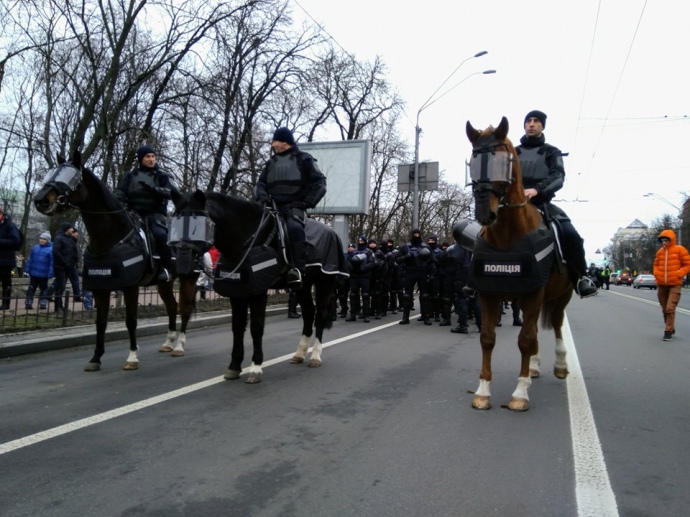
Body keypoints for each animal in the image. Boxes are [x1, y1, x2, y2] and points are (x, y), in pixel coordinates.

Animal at [33, 149, 198, 370]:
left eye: (72, 177)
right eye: (51, 173)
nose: (41, 200)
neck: (110, 238)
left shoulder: (130, 286)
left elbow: (131, 320)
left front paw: (132, 357)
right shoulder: (100, 287)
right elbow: (101, 321)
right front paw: (95, 358)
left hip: (188, 278)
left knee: (185, 309)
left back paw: (179, 346)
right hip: (165, 282)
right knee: (172, 306)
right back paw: (168, 343)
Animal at [172, 189, 344, 382]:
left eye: (200, 225)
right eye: (175, 223)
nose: (182, 266)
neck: (247, 238)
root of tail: (332, 232)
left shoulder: (258, 292)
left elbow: (256, 327)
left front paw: (255, 367)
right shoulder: (237, 293)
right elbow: (238, 327)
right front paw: (234, 366)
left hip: (324, 283)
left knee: (320, 315)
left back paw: (315, 356)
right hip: (303, 286)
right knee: (308, 313)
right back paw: (299, 354)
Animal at [464, 117, 572, 412]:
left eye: (505, 161)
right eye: (473, 161)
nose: (484, 213)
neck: (507, 238)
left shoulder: (534, 294)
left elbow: (525, 340)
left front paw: (520, 394)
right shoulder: (489, 294)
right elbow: (488, 338)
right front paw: (483, 391)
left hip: (561, 296)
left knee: (555, 323)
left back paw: (559, 365)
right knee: (534, 330)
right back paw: (534, 367)